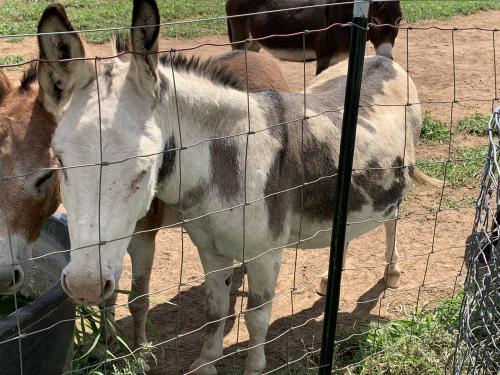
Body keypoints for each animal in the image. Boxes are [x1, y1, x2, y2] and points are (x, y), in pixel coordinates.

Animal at [227, 0, 402, 75]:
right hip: (241, 37)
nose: (386, 57)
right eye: (374, 20)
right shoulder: (323, 57)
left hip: (254, 42)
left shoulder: (339, 58)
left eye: (399, 20)